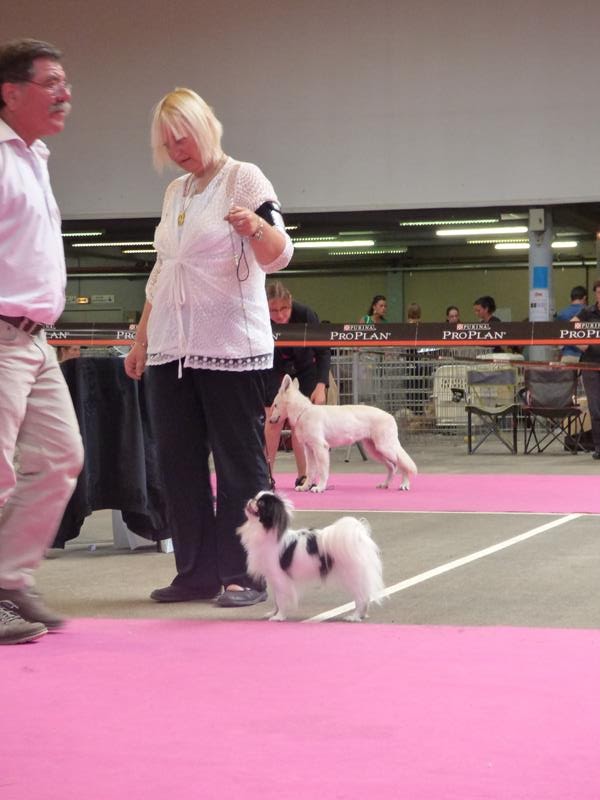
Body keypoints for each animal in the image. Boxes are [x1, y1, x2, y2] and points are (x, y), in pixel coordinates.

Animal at [237, 491, 384, 622]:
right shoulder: (274, 579)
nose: (251, 500)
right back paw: (362, 615)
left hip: (351, 576)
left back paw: (354, 617)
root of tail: (360, 537)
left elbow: (281, 600)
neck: (262, 530)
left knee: (361, 597)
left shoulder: (280, 578)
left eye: (261, 503)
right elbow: (277, 601)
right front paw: (273, 613)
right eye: (255, 497)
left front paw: (279, 617)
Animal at [269, 374, 417, 493]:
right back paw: (385, 484)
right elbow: (310, 472)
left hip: (385, 448)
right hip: (375, 451)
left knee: (402, 465)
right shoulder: (309, 450)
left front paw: (320, 488)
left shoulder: (321, 448)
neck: (303, 412)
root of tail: (391, 416)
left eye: (275, 405)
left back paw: (405, 484)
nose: (270, 421)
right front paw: (305, 487)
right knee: (392, 467)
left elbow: (322, 472)